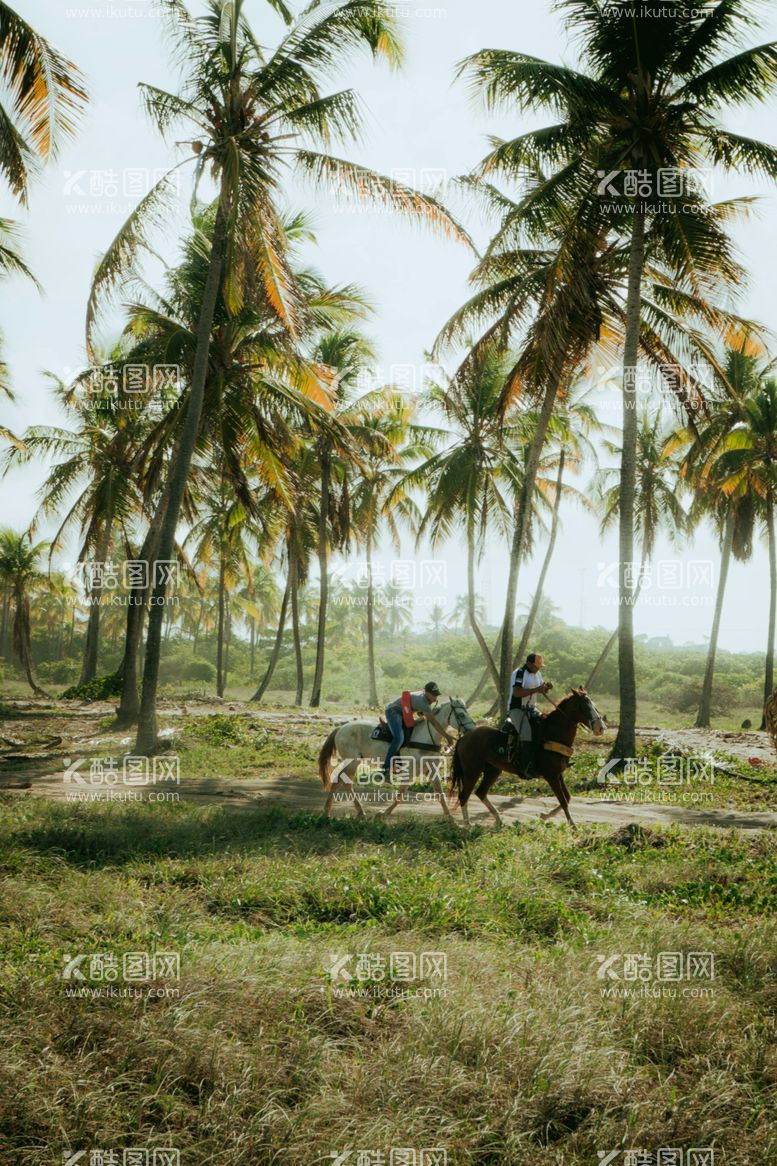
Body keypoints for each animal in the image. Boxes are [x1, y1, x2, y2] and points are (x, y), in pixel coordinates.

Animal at [317, 699, 475, 820]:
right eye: (461, 714)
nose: (472, 730)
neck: (425, 738)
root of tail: (341, 728)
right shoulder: (409, 772)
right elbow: (401, 794)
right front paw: (383, 814)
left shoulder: (431, 770)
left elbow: (440, 794)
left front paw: (451, 819)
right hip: (352, 761)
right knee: (342, 782)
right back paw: (328, 811)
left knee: (344, 782)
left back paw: (355, 811)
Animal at [448, 690, 606, 830]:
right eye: (583, 706)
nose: (600, 727)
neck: (552, 734)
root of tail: (463, 738)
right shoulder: (551, 776)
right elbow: (563, 800)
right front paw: (573, 826)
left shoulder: (558, 774)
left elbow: (567, 798)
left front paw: (545, 815)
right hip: (472, 772)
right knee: (463, 796)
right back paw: (467, 825)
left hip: (493, 770)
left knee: (480, 792)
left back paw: (498, 819)